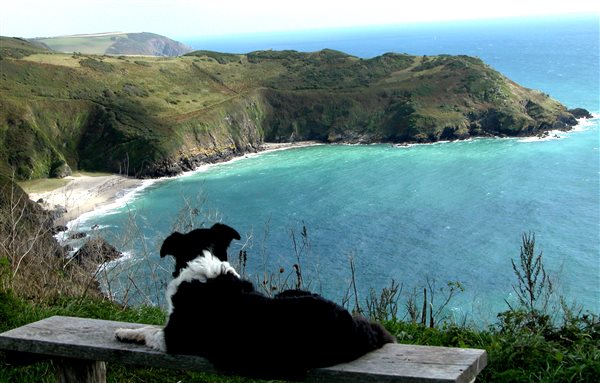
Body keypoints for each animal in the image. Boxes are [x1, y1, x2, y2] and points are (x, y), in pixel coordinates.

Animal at [115, 224, 396, 380]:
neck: (205, 265)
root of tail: (353, 327)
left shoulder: (175, 337)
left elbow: (149, 330)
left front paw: (125, 331)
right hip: (289, 293)